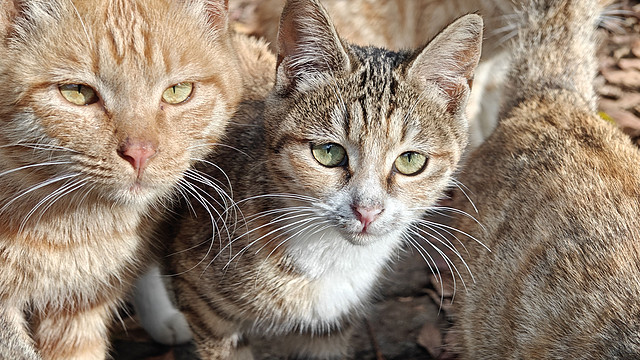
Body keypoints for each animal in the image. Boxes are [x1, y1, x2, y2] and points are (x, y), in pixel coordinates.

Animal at [168, 0, 482, 358]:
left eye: (410, 161)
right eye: (329, 152)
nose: (367, 211)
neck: (329, 257)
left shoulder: (328, 329)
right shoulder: (207, 309)